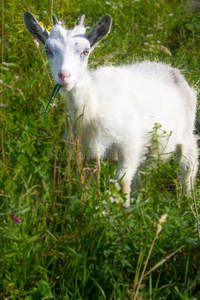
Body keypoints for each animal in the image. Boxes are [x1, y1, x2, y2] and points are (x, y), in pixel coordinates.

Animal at [23, 11, 198, 206]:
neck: (95, 104)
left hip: (186, 131)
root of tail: (172, 70)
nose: (64, 76)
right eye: (47, 51)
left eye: (85, 51)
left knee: (189, 160)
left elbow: (120, 183)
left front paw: (123, 213)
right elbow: (89, 183)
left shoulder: (129, 144)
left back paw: (187, 199)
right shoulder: (86, 152)